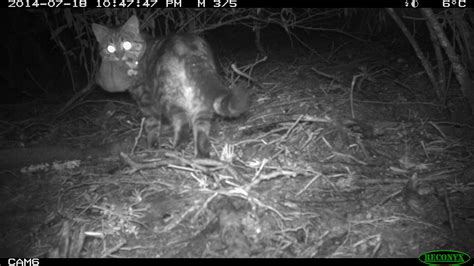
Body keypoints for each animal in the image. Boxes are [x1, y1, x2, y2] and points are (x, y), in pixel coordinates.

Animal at [91, 16, 248, 158]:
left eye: (127, 44)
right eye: (110, 47)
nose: (119, 55)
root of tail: (189, 48)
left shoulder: (146, 100)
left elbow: (151, 125)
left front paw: (153, 147)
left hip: (169, 96)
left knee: (182, 122)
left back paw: (177, 148)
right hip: (200, 98)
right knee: (201, 128)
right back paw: (201, 156)